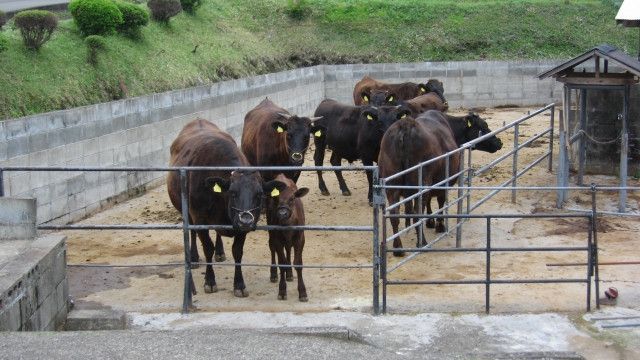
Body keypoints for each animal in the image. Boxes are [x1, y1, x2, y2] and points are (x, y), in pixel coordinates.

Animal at [168, 119, 284, 296]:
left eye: (259, 195)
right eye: (233, 193)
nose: (246, 221)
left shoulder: (240, 230)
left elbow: (237, 251)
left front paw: (239, 284)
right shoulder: (199, 218)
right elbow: (207, 248)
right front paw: (209, 281)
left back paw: (220, 252)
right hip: (187, 211)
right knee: (192, 232)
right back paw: (194, 258)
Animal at [376, 114, 460, 255]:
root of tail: (405, 125)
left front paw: (431, 222)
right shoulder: (442, 184)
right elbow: (440, 202)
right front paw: (439, 225)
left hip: (392, 186)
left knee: (394, 215)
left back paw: (398, 248)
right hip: (421, 184)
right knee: (417, 213)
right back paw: (422, 242)